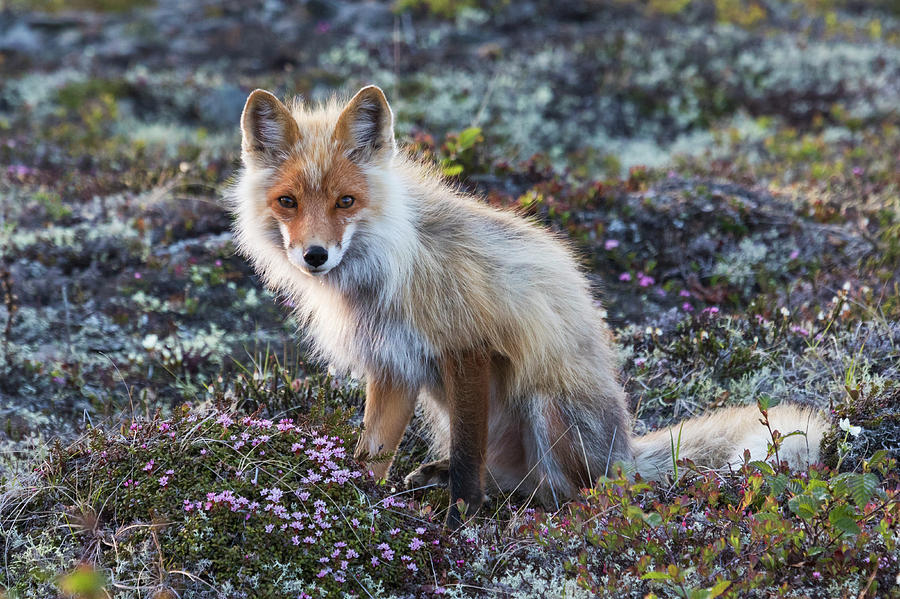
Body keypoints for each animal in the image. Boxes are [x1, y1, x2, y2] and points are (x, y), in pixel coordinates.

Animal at [227, 85, 828, 528]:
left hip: (545, 405)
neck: (391, 264)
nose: (315, 256)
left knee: (569, 494)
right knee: (513, 481)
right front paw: (356, 505)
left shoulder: (469, 348)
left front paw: (458, 521)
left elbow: (467, 461)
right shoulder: (394, 366)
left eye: (345, 201)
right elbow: (370, 455)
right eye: (288, 202)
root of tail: (625, 455)